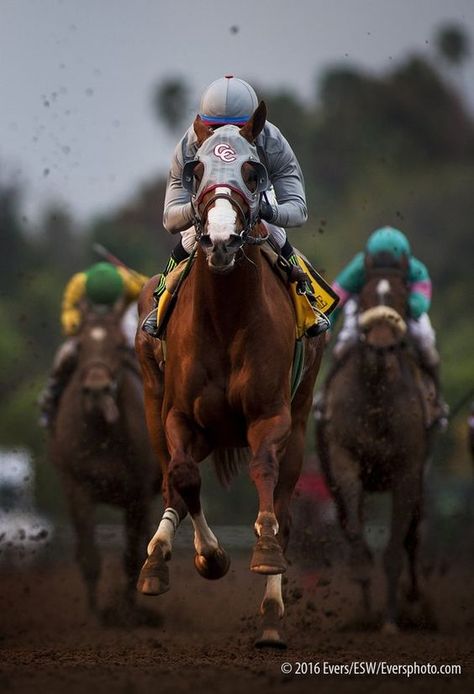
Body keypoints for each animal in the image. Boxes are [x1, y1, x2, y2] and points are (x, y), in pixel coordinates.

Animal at [49, 308, 158, 620]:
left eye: (119, 345)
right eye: (81, 345)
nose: (98, 390)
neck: (102, 432)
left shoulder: (139, 494)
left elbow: (133, 556)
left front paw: (129, 613)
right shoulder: (78, 488)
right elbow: (89, 556)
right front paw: (95, 615)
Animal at [135, 102, 324, 648]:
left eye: (254, 170)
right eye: (196, 169)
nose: (219, 241)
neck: (224, 316)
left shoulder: (270, 415)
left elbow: (265, 474)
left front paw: (264, 555)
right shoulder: (178, 415)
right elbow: (182, 478)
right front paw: (208, 557)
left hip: (300, 419)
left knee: (283, 504)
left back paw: (272, 616)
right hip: (157, 406)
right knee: (172, 483)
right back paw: (156, 560)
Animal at [314, 258, 434, 632]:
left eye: (400, 296)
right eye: (365, 295)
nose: (381, 346)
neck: (377, 398)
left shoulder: (408, 472)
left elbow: (397, 544)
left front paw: (392, 620)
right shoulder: (344, 463)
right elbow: (356, 535)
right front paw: (366, 604)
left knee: (413, 536)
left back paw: (415, 601)